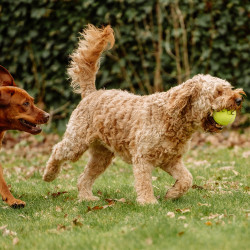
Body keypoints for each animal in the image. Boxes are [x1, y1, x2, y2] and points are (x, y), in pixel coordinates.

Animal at [43, 24, 244, 204]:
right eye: (218, 92)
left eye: (228, 88)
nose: (239, 99)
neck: (171, 118)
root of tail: (92, 93)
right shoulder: (143, 158)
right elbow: (145, 182)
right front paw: (148, 202)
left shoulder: (171, 160)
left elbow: (187, 179)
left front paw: (172, 194)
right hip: (76, 142)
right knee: (57, 150)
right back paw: (48, 175)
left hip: (102, 155)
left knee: (84, 177)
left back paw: (86, 197)